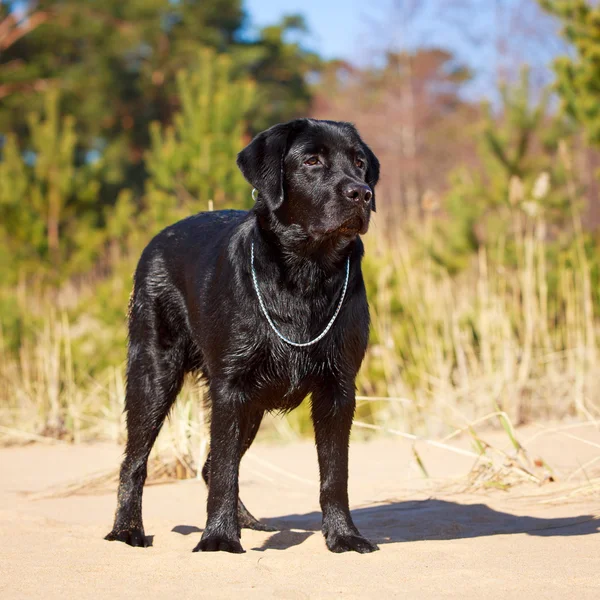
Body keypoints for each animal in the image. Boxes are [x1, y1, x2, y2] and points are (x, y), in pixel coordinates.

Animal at [105, 117, 380, 552]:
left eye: (359, 162)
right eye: (312, 160)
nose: (362, 193)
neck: (306, 273)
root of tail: (156, 240)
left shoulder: (338, 388)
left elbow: (335, 474)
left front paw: (344, 535)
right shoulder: (230, 387)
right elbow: (224, 471)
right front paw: (218, 538)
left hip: (250, 405)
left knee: (208, 464)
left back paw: (247, 520)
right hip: (154, 376)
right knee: (136, 462)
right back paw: (126, 529)